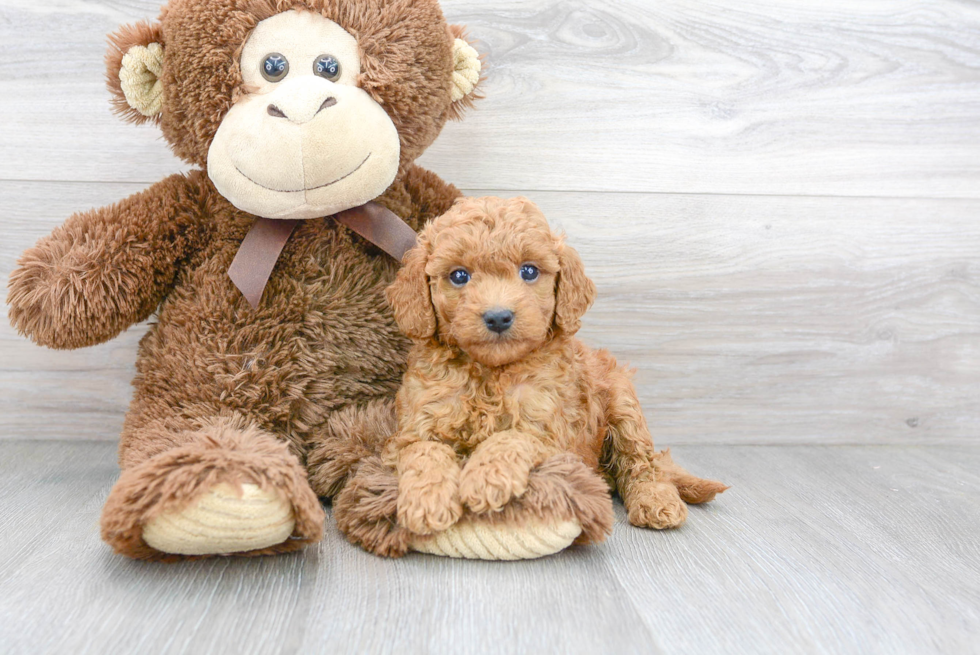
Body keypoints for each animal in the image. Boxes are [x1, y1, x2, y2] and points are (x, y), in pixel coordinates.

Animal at [384, 199, 728, 540]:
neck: (492, 372)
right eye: (458, 276)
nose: (498, 316)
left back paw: (656, 501)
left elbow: (512, 439)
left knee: (641, 462)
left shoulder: (551, 430)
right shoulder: (417, 424)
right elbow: (424, 452)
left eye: (529, 271)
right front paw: (427, 501)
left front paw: (485, 478)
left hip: (623, 402)